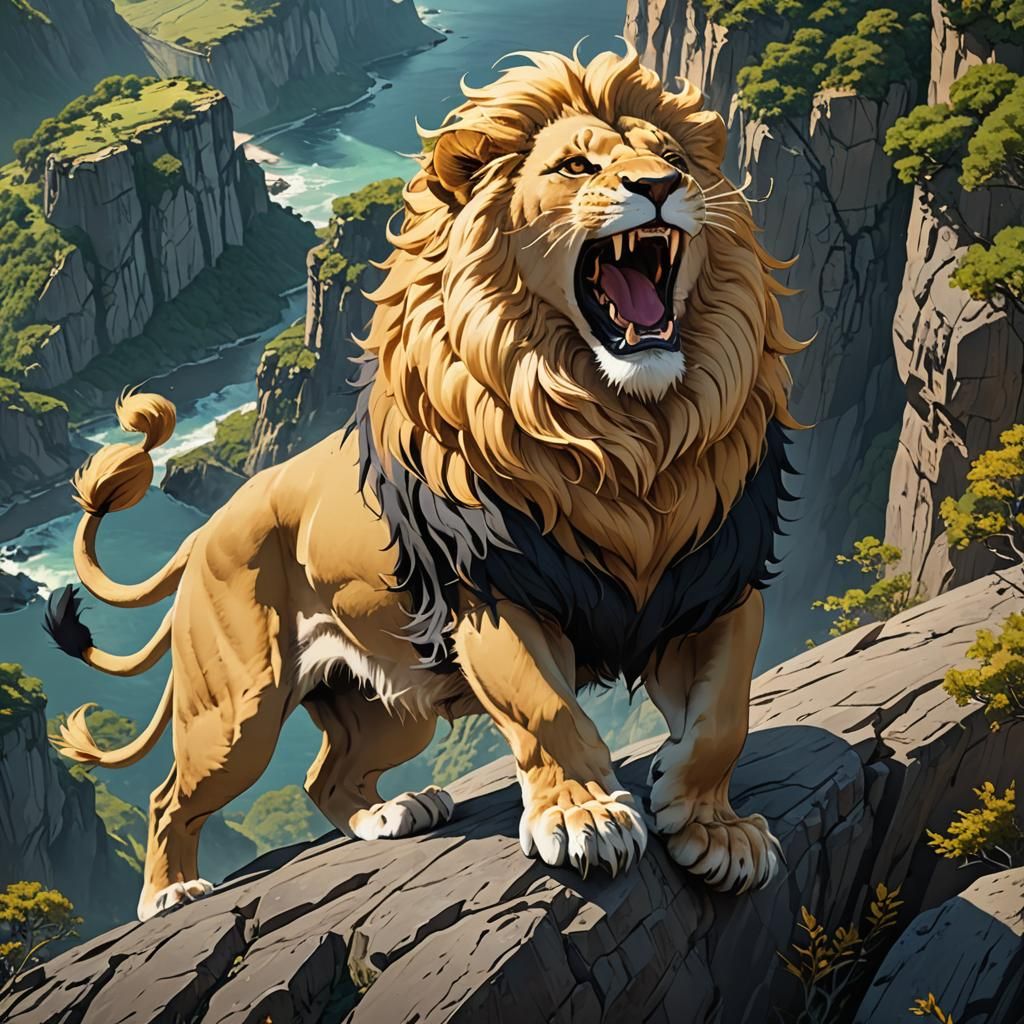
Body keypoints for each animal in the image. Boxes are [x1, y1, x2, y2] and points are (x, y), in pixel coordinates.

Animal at [46, 45, 804, 922]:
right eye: (576, 166)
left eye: (675, 159)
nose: (659, 186)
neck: (628, 439)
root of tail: (205, 531)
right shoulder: (493, 595)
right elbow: (548, 709)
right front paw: (584, 818)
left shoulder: (717, 586)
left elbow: (723, 717)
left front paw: (712, 827)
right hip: (238, 707)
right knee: (171, 794)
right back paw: (170, 893)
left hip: (387, 703)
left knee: (323, 775)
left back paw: (393, 812)